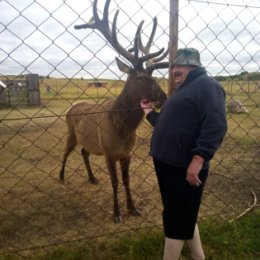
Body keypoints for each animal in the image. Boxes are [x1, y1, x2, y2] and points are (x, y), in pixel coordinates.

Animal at [58, 0, 169, 223]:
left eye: (154, 76)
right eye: (141, 77)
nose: (163, 96)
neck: (122, 131)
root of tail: (71, 107)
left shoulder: (126, 153)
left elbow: (126, 180)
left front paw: (133, 208)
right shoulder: (108, 152)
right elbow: (115, 182)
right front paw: (116, 214)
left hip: (89, 140)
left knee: (83, 152)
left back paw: (92, 178)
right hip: (71, 132)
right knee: (66, 151)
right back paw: (61, 176)